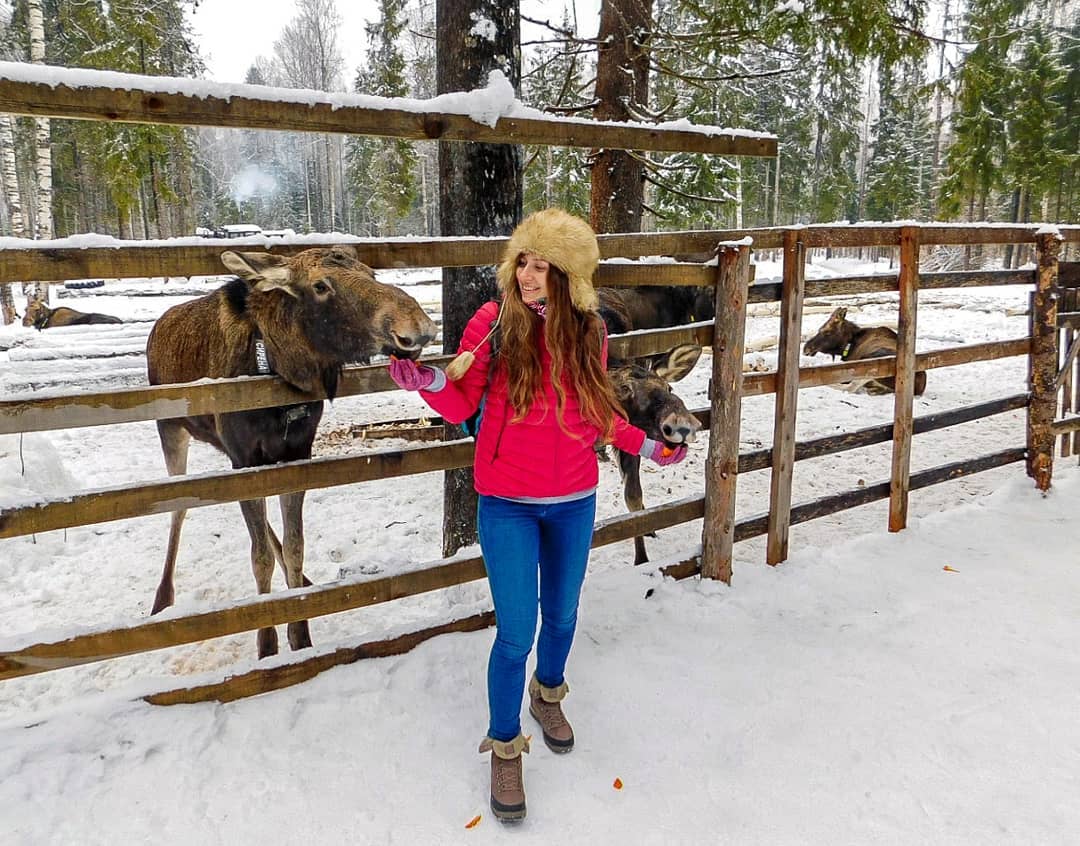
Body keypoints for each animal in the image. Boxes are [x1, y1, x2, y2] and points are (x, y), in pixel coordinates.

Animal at [145, 248, 440, 656]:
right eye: (320, 286)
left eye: (371, 272)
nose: (417, 326)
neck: (276, 367)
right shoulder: (245, 458)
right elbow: (259, 558)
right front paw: (267, 645)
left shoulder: (296, 453)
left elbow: (295, 546)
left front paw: (300, 633)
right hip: (171, 429)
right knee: (178, 508)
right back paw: (162, 598)